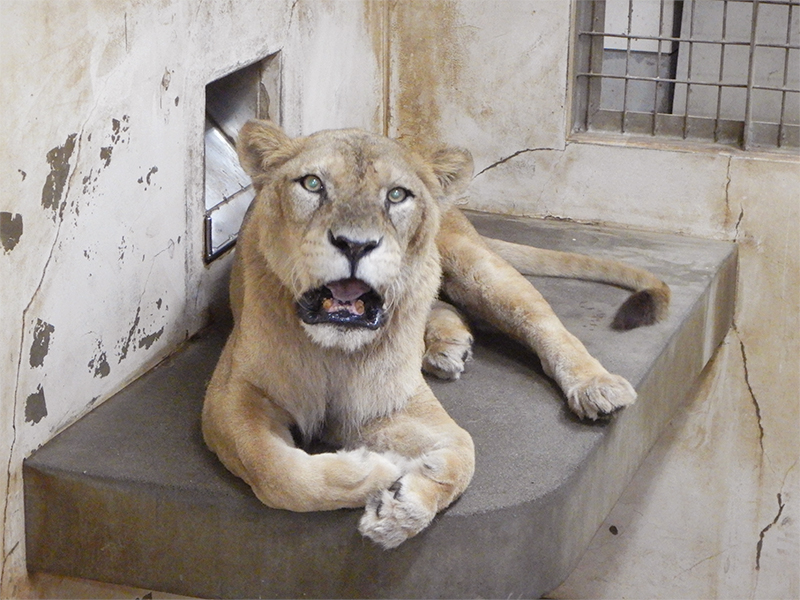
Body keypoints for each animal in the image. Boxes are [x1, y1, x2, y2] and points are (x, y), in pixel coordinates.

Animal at [201, 120, 670, 549]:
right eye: (313, 184)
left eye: (396, 195)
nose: (355, 244)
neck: (334, 351)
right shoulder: (232, 394)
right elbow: (272, 467)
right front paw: (375, 471)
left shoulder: (392, 405)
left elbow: (464, 451)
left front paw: (402, 507)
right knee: (443, 304)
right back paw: (448, 348)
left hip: (475, 265)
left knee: (540, 320)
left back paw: (595, 385)